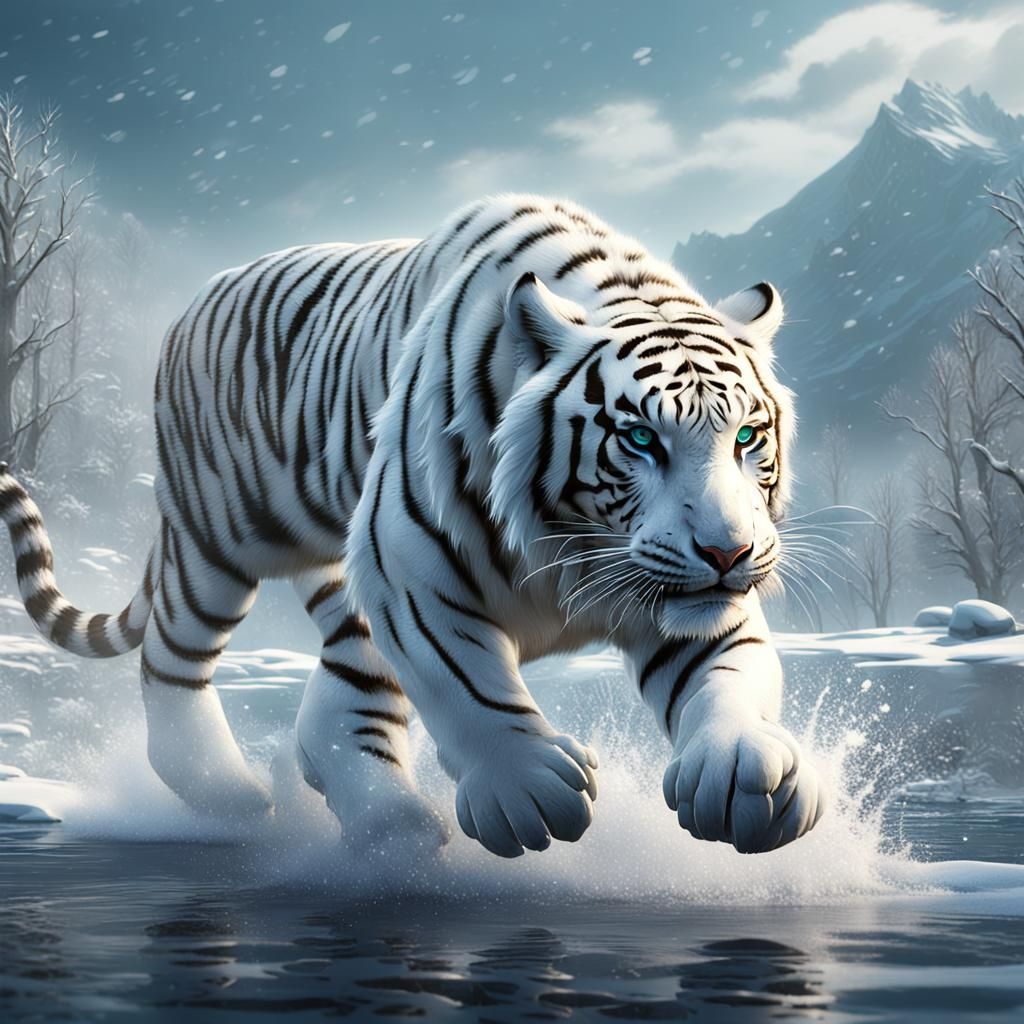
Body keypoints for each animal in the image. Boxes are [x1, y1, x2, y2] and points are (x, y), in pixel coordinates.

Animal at [0, 194, 826, 857]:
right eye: (641, 439)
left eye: (747, 436)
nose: (728, 550)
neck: (576, 545)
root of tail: (199, 297)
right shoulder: (409, 566)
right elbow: (469, 686)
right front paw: (526, 792)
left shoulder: (693, 600)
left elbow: (730, 672)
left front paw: (744, 774)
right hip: (220, 537)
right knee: (171, 656)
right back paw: (230, 794)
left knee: (338, 704)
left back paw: (387, 823)